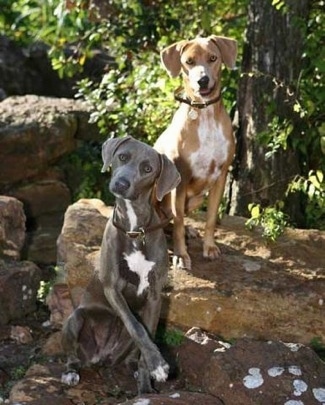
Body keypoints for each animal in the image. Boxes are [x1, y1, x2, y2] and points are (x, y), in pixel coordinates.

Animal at [153, 34, 237, 268]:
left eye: (213, 58)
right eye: (189, 61)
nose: (203, 80)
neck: (205, 113)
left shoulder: (220, 177)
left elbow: (210, 219)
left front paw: (210, 248)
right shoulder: (180, 179)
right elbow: (179, 221)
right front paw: (181, 255)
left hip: (197, 198)